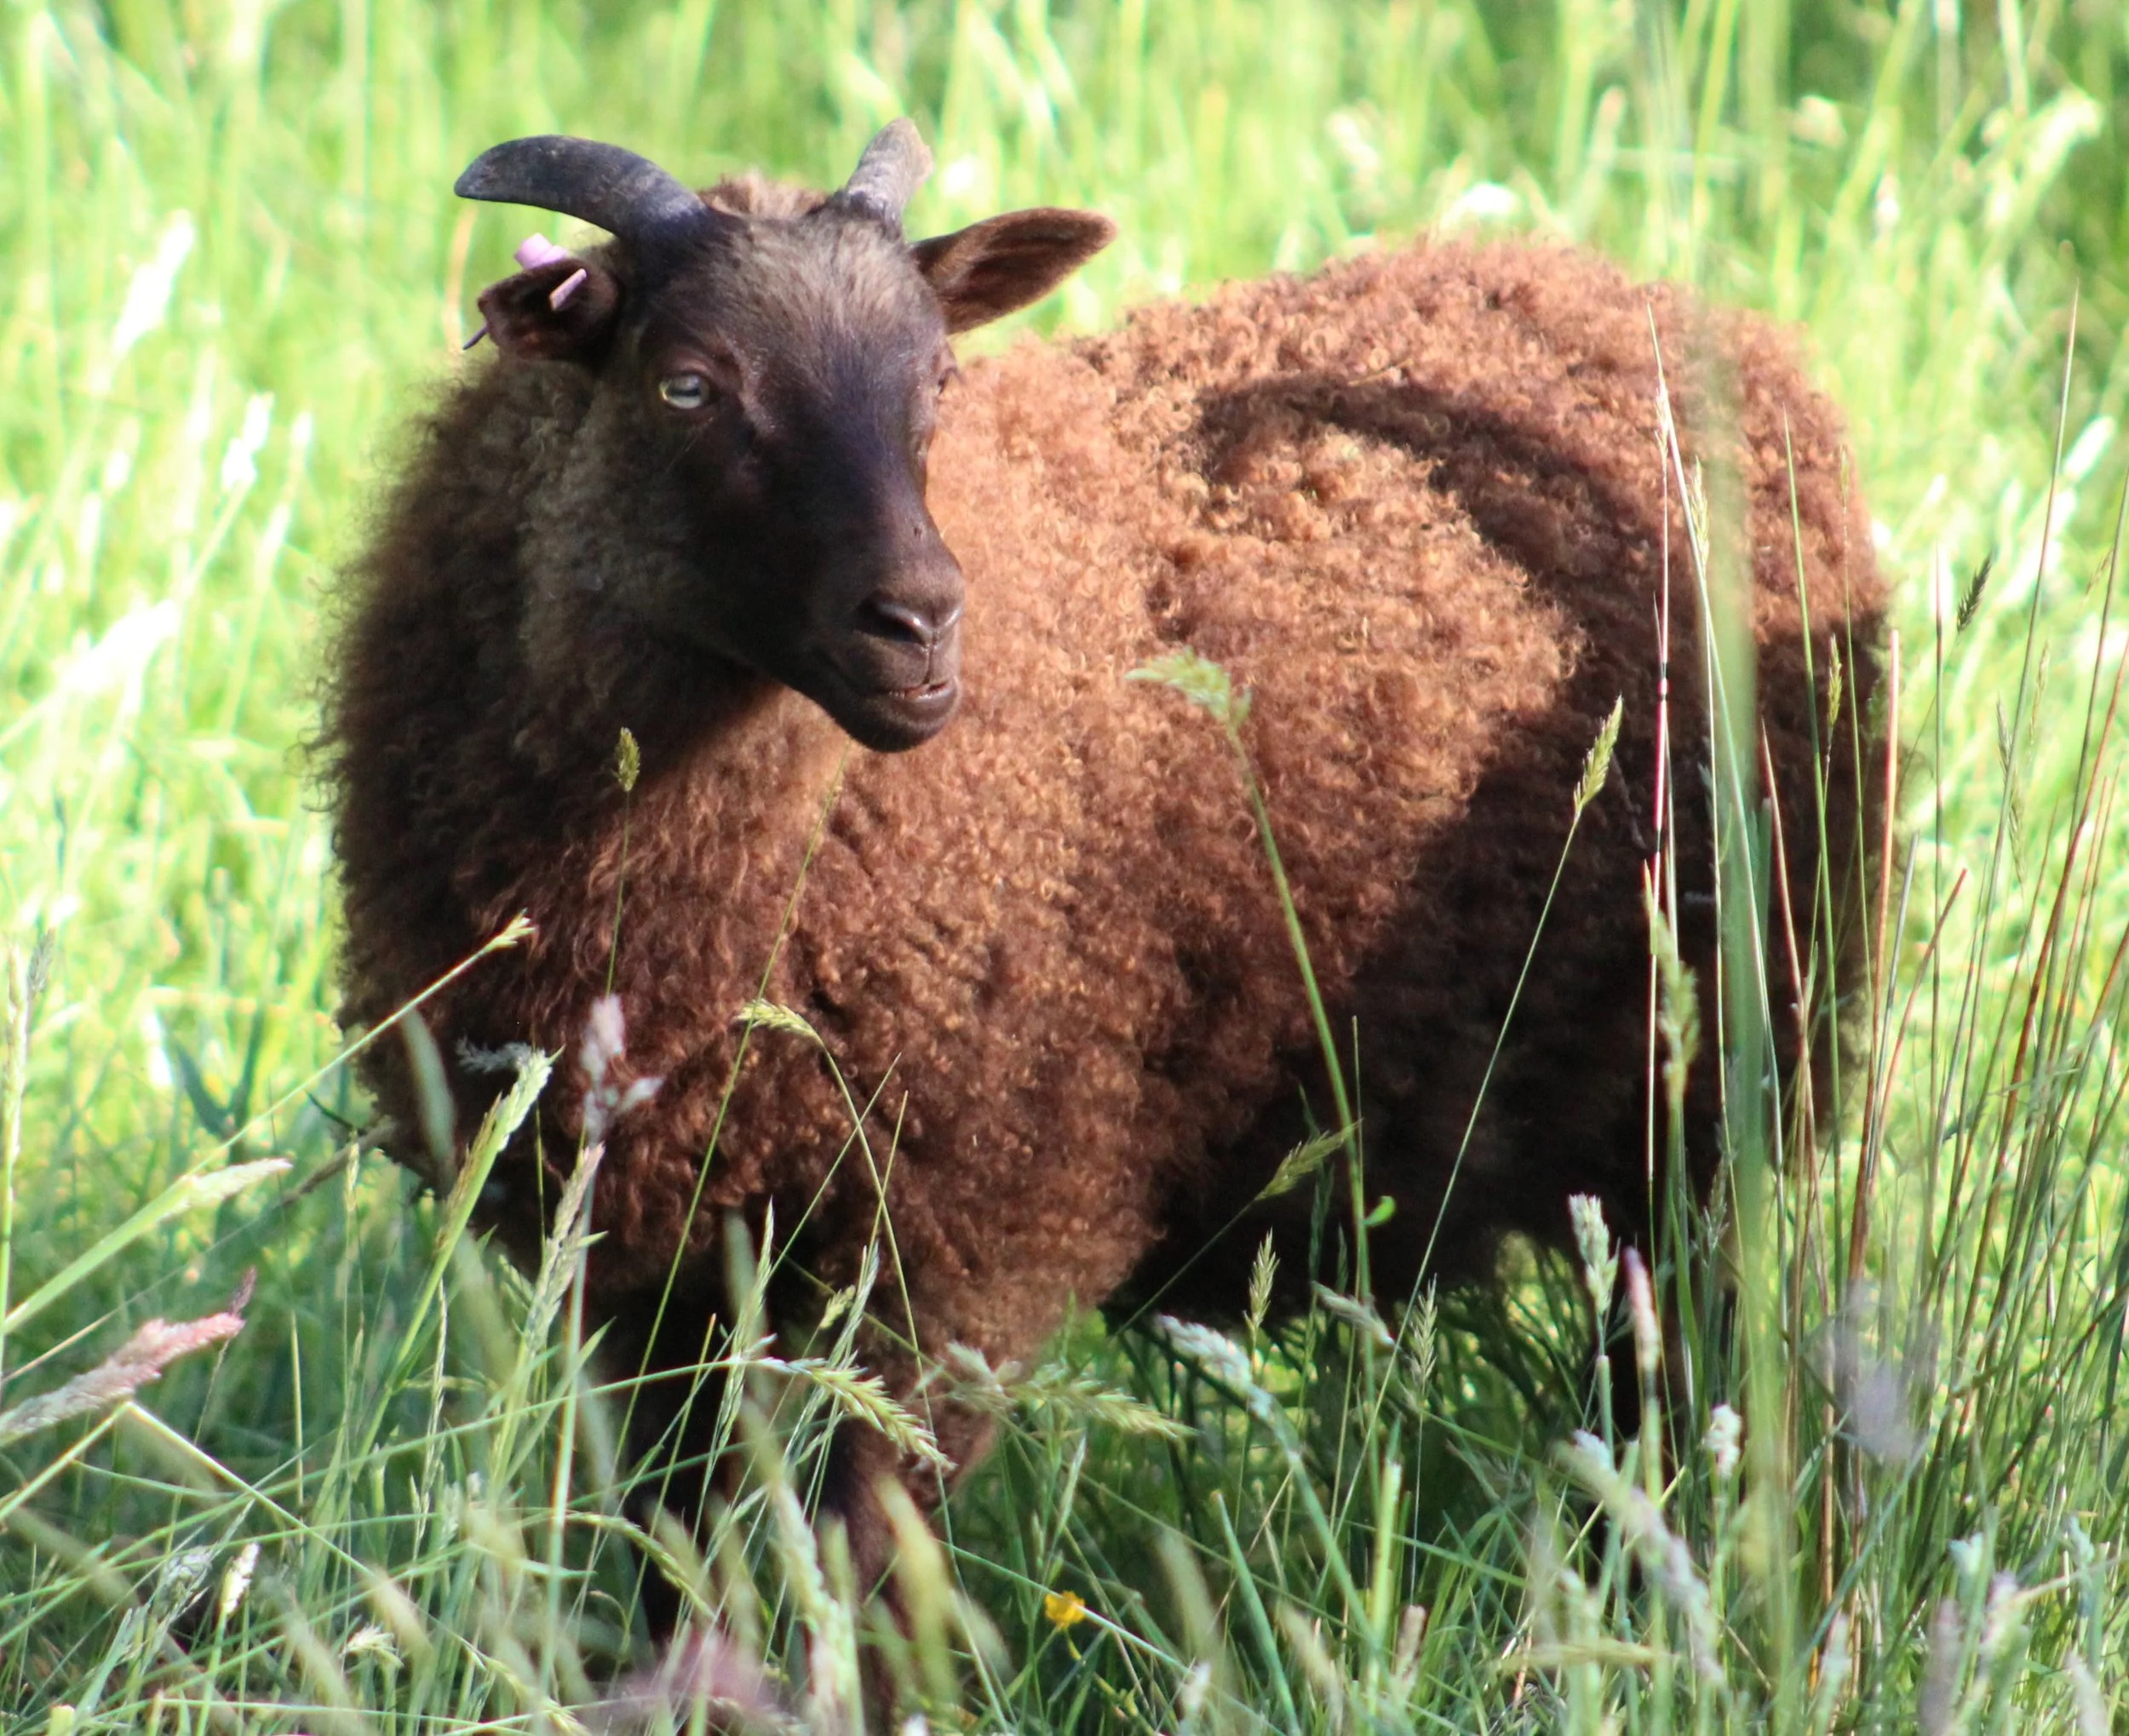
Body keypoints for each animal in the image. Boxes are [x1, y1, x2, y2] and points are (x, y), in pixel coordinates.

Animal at [325, 119, 1883, 1624]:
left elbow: (858, 1574)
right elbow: (679, 1563)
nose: (919, 625)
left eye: (941, 376)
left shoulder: (959, 1246)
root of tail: (1659, 299)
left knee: (1675, 1380)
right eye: (687, 386)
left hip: (1705, 1103)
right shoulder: (644, 1267)